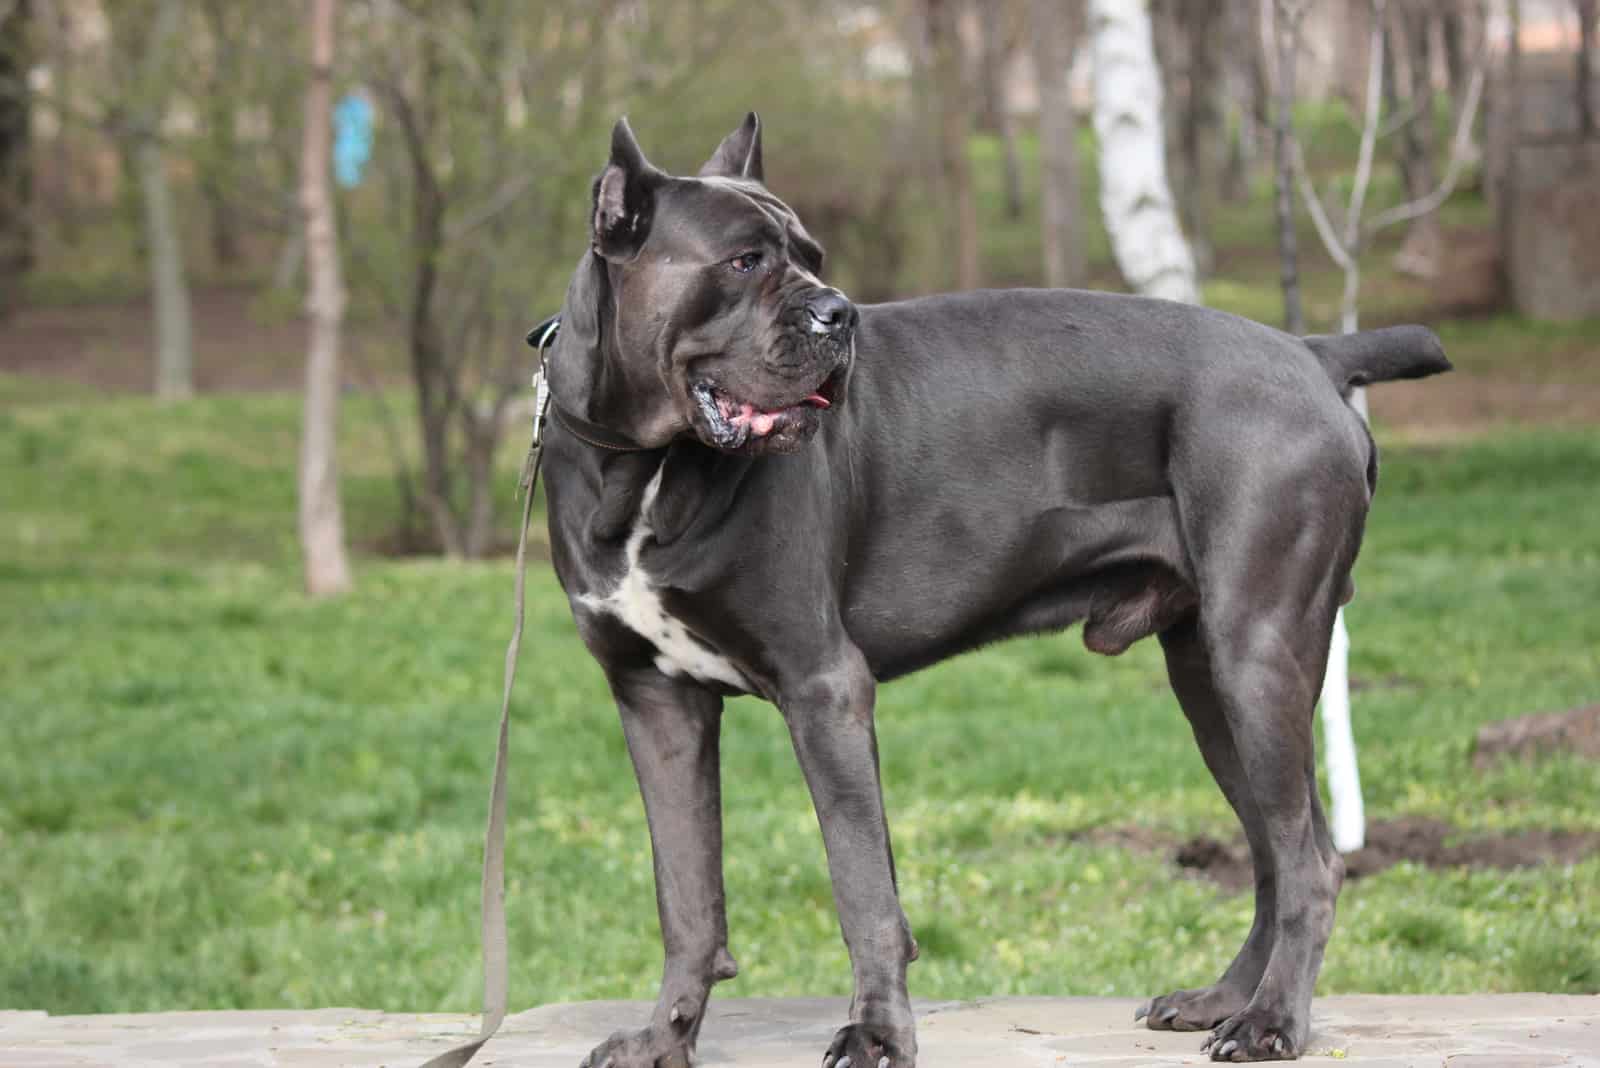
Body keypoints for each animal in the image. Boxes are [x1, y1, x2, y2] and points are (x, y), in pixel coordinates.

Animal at [537, 112, 1452, 1061]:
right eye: (744, 260)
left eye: (812, 254)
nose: (839, 312)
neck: (640, 466)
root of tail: (1312, 351)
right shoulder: (655, 701)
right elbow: (686, 896)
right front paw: (663, 1038)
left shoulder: (824, 688)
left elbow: (862, 887)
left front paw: (877, 1033)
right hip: (1210, 681)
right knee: (1277, 848)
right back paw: (1225, 999)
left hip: (1259, 654)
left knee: (1309, 859)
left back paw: (1271, 1022)